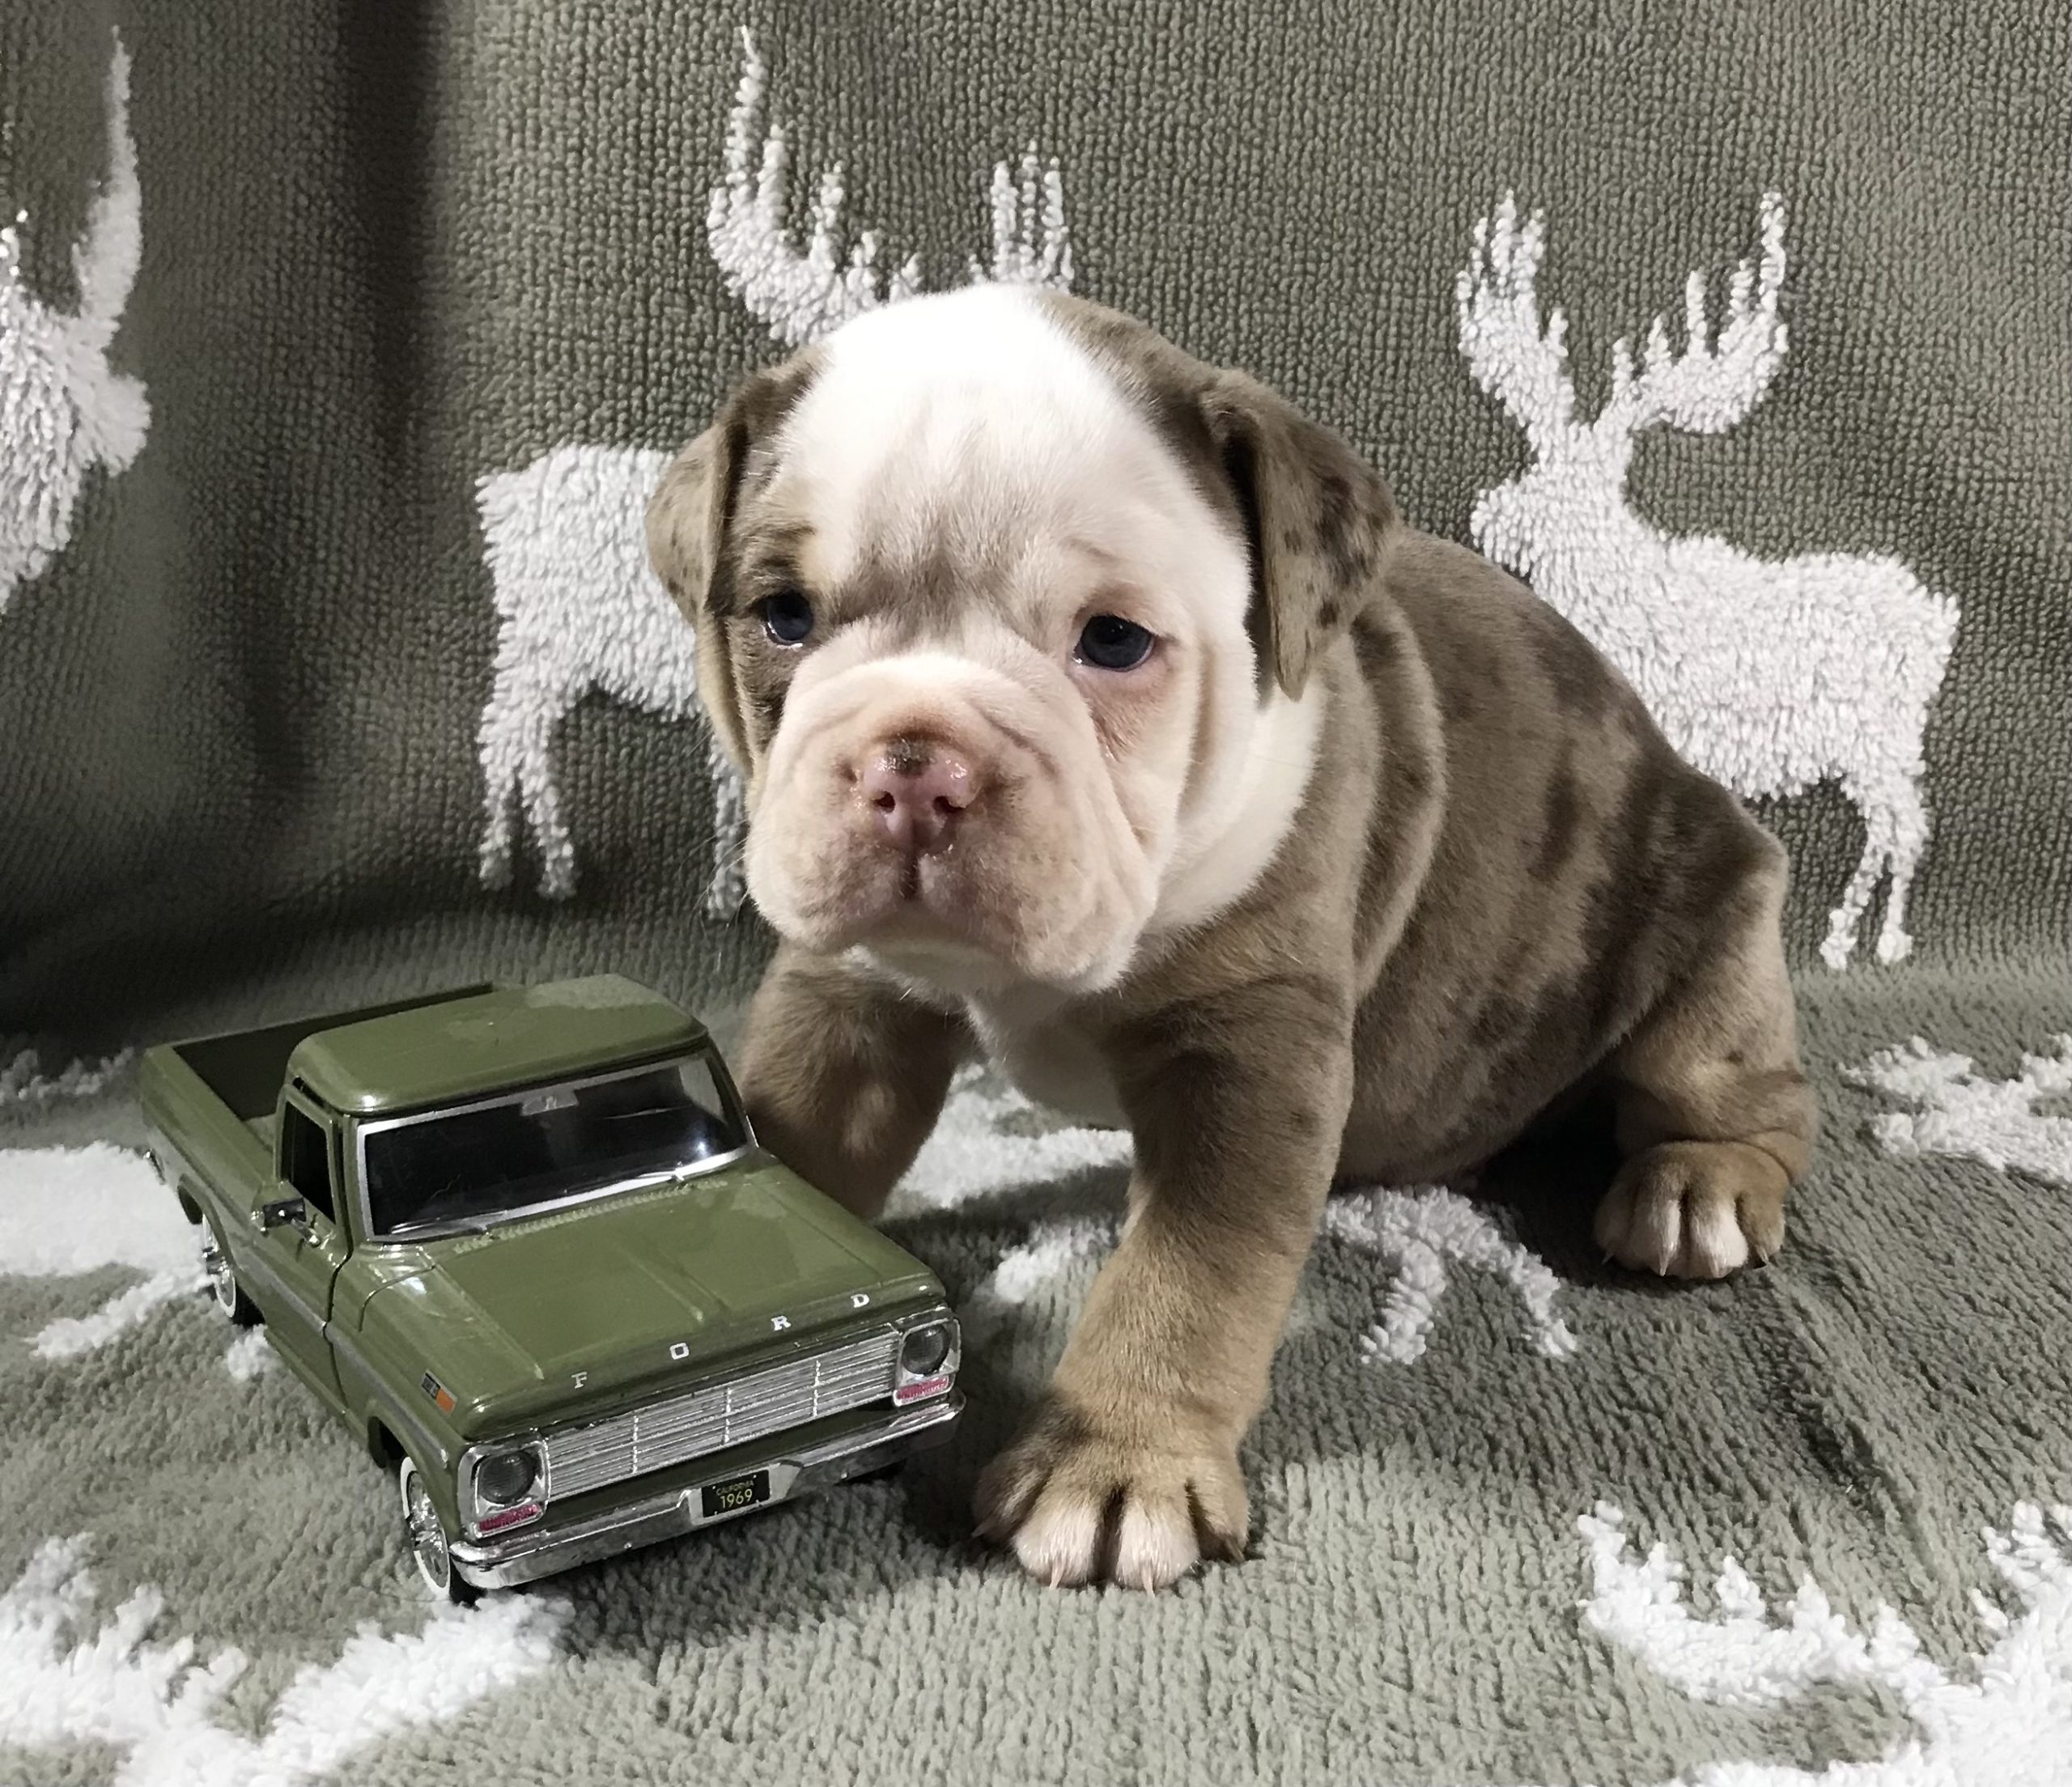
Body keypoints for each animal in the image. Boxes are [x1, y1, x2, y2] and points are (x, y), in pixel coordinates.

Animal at [644, 283, 1816, 1591]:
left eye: (1113, 642)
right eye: (782, 616)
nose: (915, 766)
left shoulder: (1249, 1054)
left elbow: (1188, 1277)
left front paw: (1115, 1467)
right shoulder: (845, 1002)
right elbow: (799, 1139)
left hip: (1714, 916)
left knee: (1742, 1088)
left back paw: (1699, 1185)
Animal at [1456, 193, 1958, 970]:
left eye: (1567, 483)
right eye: (1535, 460)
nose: (1488, 514)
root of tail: (1941, 620)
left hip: (1879, 736)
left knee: (1906, 826)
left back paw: (1874, 939)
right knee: (1894, 825)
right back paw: (1848, 934)